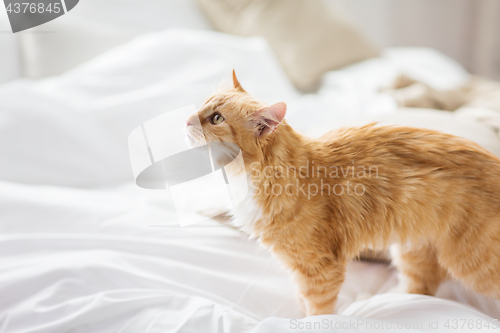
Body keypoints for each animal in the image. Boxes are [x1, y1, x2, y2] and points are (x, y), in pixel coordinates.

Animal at [186, 71, 500, 316]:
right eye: (201, 107)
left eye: (216, 118)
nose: (187, 121)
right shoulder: (298, 267)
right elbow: (302, 298)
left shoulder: (320, 265)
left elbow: (318, 309)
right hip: (412, 249)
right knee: (422, 288)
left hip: (472, 264)